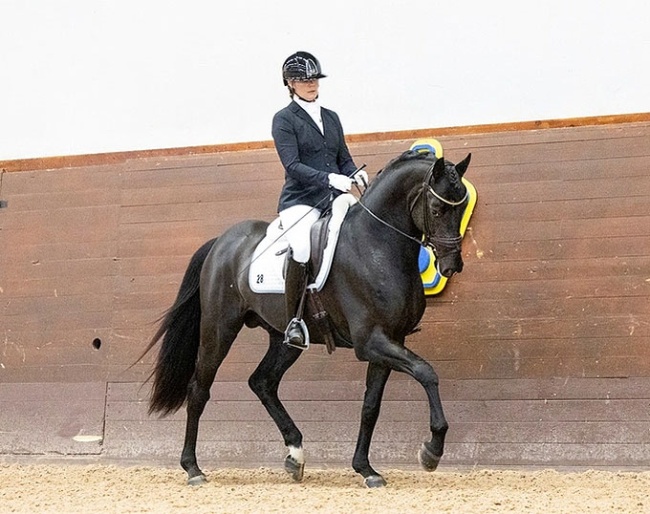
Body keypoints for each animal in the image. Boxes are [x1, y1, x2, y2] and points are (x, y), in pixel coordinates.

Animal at [139, 149, 472, 488]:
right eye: (437, 209)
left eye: (462, 205)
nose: (452, 266)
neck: (376, 246)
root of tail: (221, 242)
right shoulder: (371, 342)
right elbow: (426, 372)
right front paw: (431, 451)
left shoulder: (390, 340)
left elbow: (371, 406)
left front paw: (366, 468)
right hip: (219, 330)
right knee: (199, 390)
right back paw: (193, 468)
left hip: (283, 339)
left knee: (263, 382)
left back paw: (295, 454)